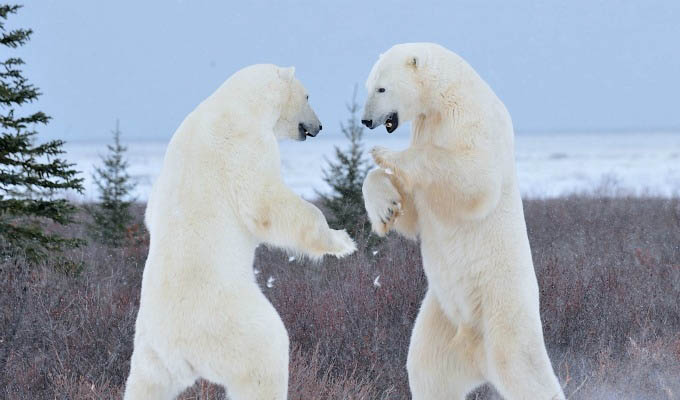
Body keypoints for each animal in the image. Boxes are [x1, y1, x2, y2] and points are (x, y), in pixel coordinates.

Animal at [125, 64, 356, 398]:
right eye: (308, 95)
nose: (320, 126)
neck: (238, 103)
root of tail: (182, 350)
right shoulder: (246, 143)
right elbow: (265, 202)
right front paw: (342, 240)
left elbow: (151, 210)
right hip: (235, 324)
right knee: (266, 358)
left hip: (150, 352)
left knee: (145, 385)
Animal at [362, 43, 564, 400]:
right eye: (368, 86)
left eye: (381, 88)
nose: (366, 119)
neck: (446, 93)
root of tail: (476, 352)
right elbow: (413, 211)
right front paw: (386, 208)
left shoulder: (471, 118)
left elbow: (473, 177)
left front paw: (385, 153)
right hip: (442, 316)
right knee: (427, 371)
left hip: (503, 312)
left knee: (522, 369)